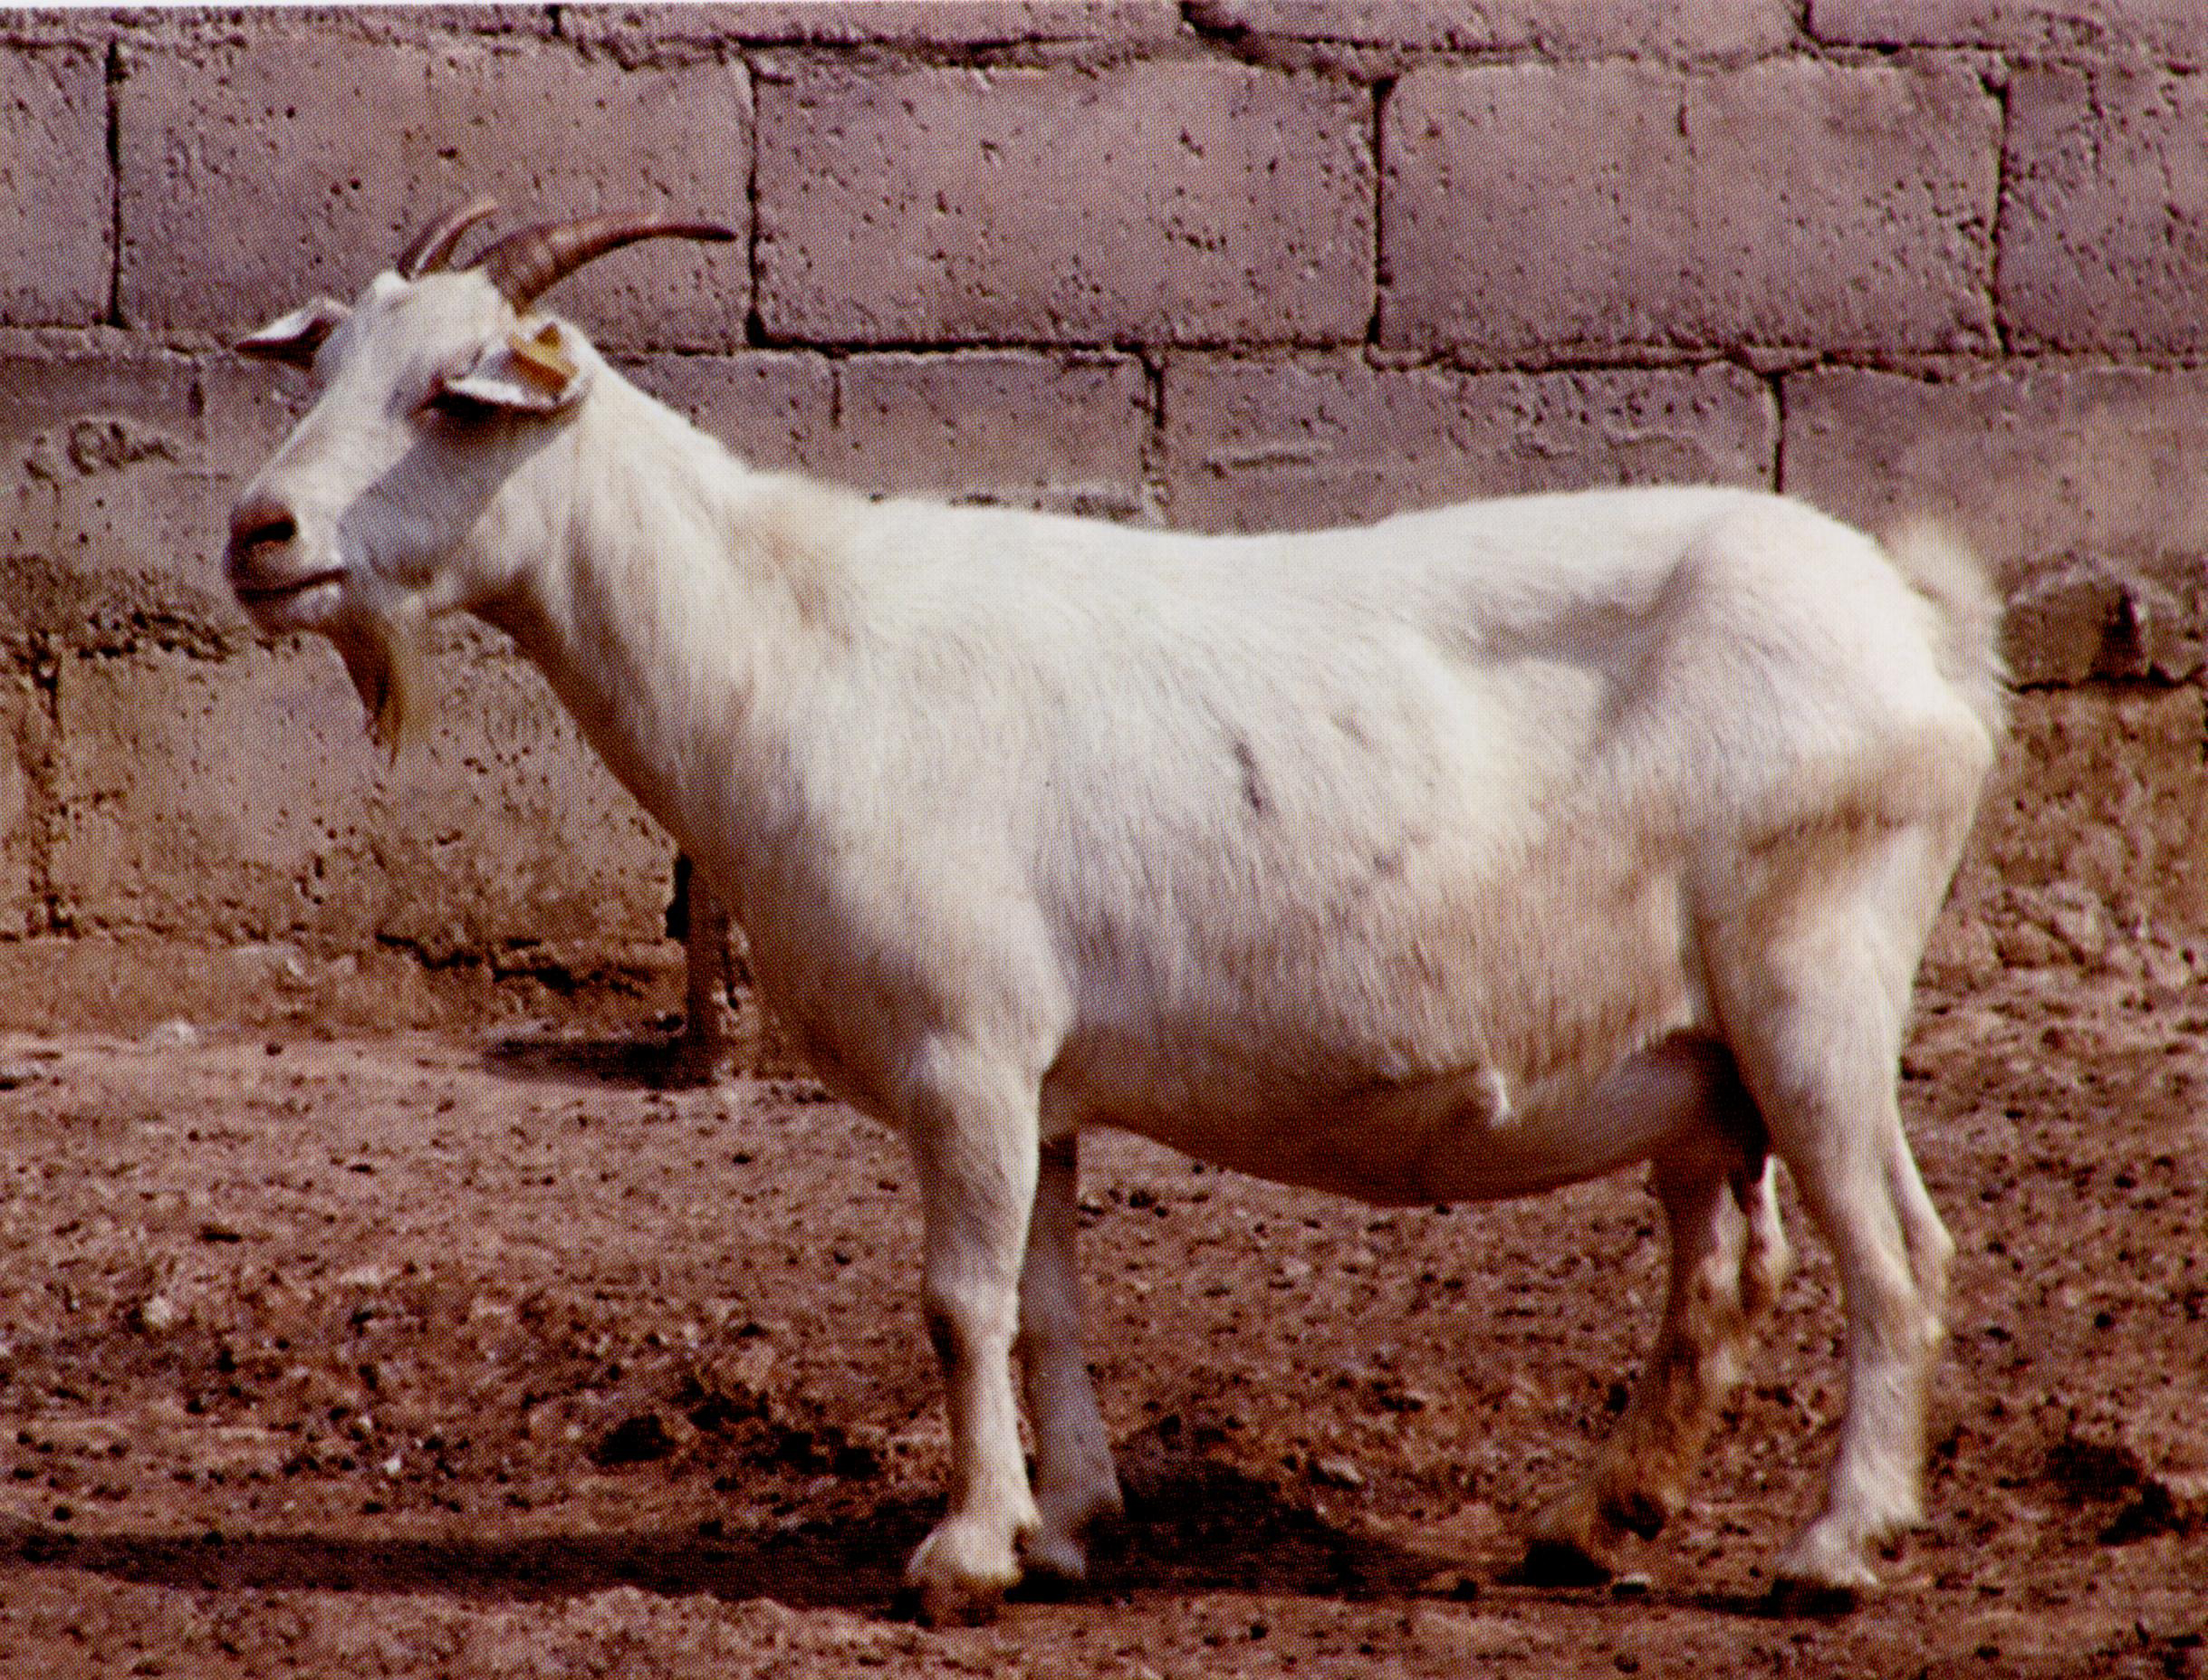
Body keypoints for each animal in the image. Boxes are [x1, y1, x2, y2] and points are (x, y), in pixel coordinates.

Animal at [224, 203, 2004, 1616]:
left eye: (454, 398)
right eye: (324, 371)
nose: (258, 534)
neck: (791, 644)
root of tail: (1918, 623)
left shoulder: (962, 1049)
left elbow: (956, 1305)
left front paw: (960, 1560)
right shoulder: (1042, 1079)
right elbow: (1045, 1304)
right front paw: (1069, 1524)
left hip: (1814, 977)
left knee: (1895, 1250)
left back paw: (1830, 1553)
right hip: (1691, 1052)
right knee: (1724, 1266)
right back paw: (1590, 1519)